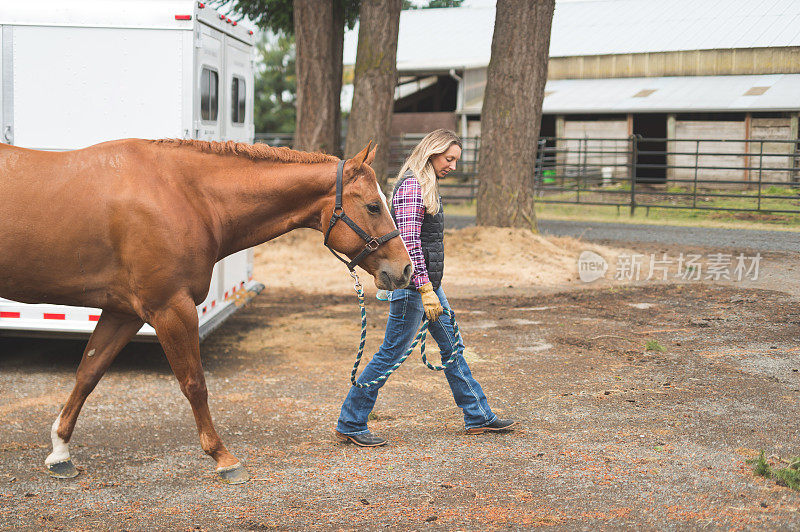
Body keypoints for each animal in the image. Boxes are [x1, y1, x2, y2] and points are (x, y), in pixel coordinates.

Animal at [0, 138, 412, 486]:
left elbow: (88, 373)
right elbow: (194, 383)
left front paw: (60, 451)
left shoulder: (124, 312)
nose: (405, 270)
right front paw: (224, 458)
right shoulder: (171, 309)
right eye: (373, 206)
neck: (184, 195)